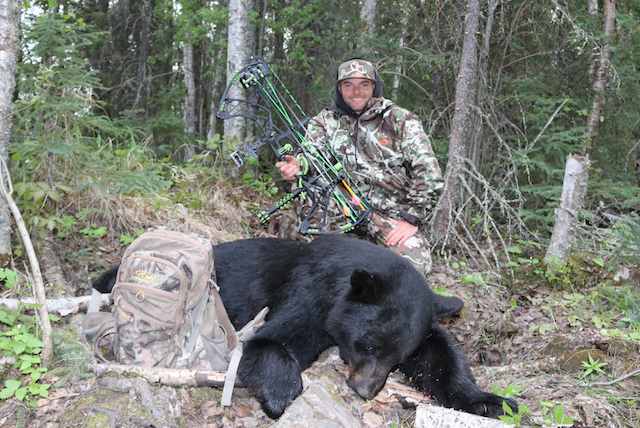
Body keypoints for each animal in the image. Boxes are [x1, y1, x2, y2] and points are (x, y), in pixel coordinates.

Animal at [93, 234, 517, 419]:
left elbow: (440, 357)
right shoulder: (308, 294)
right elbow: (268, 341)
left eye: (397, 358)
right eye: (366, 344)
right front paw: (281, 393)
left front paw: (489, 400)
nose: (364, 390)